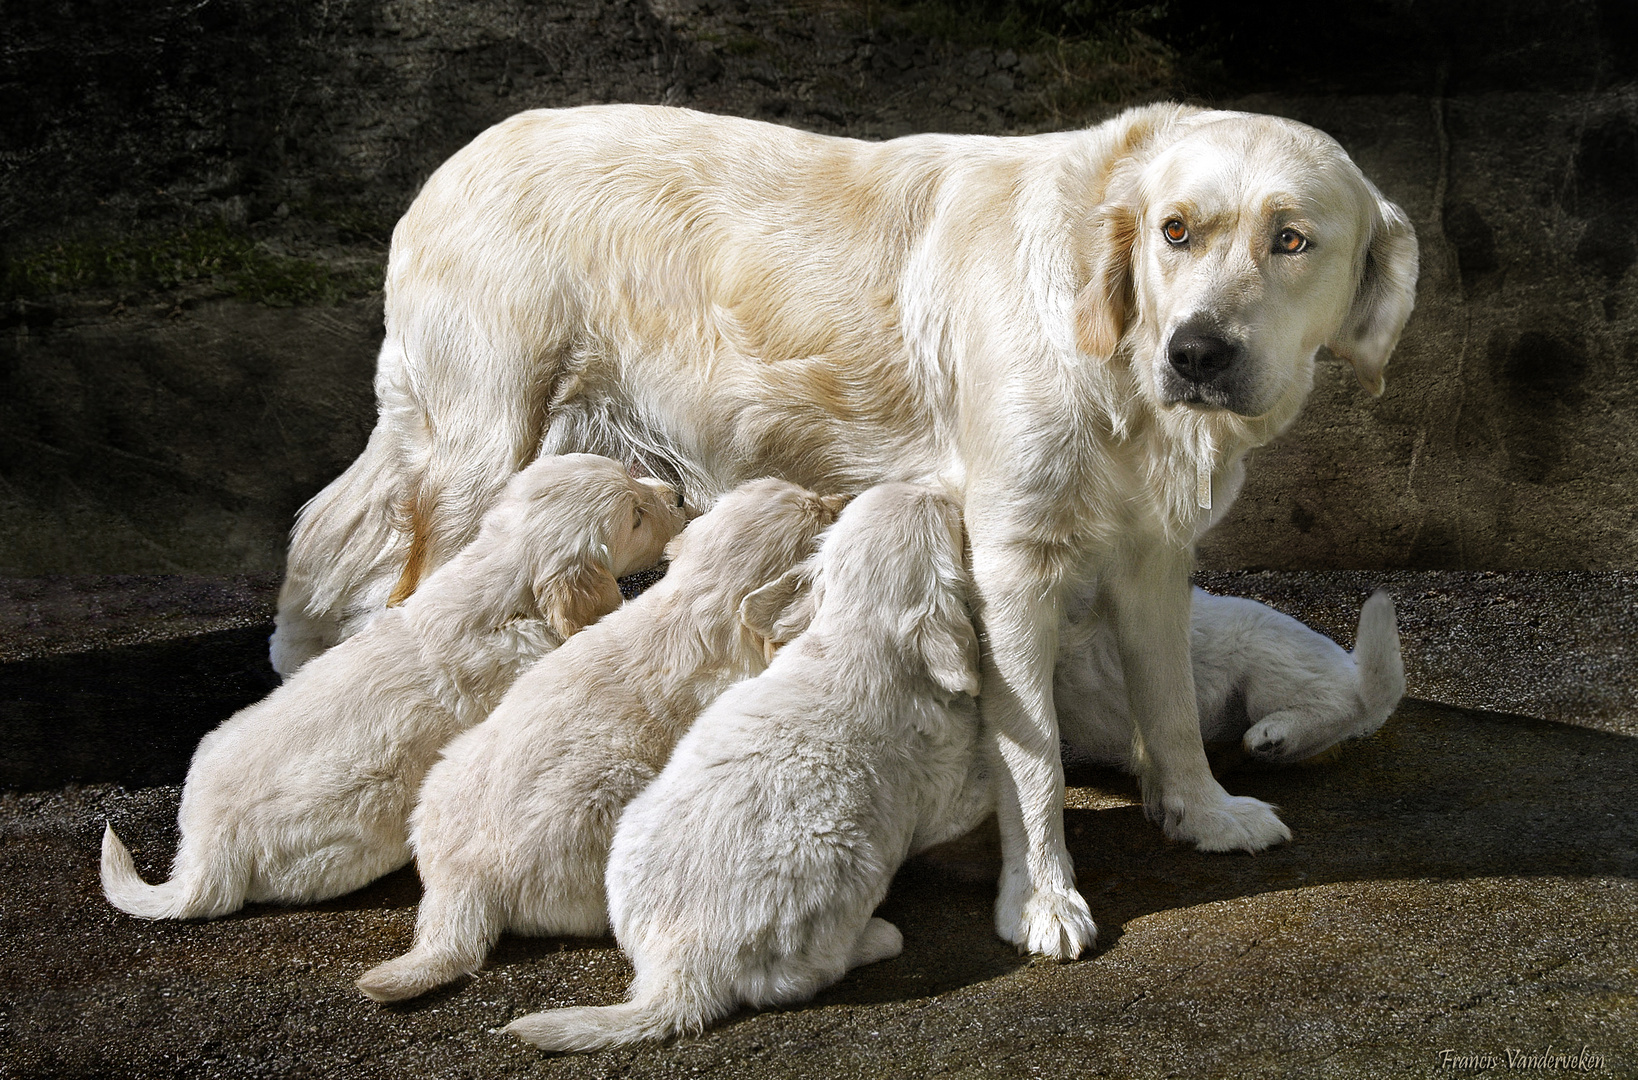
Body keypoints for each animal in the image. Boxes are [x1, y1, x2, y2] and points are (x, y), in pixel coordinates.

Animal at [504, 485, 989, 1055]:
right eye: (943, 516)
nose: (938, 488)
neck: (857, 633)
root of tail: (682, 971)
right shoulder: (944, 790)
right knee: (817, 970)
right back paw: (878, 938)